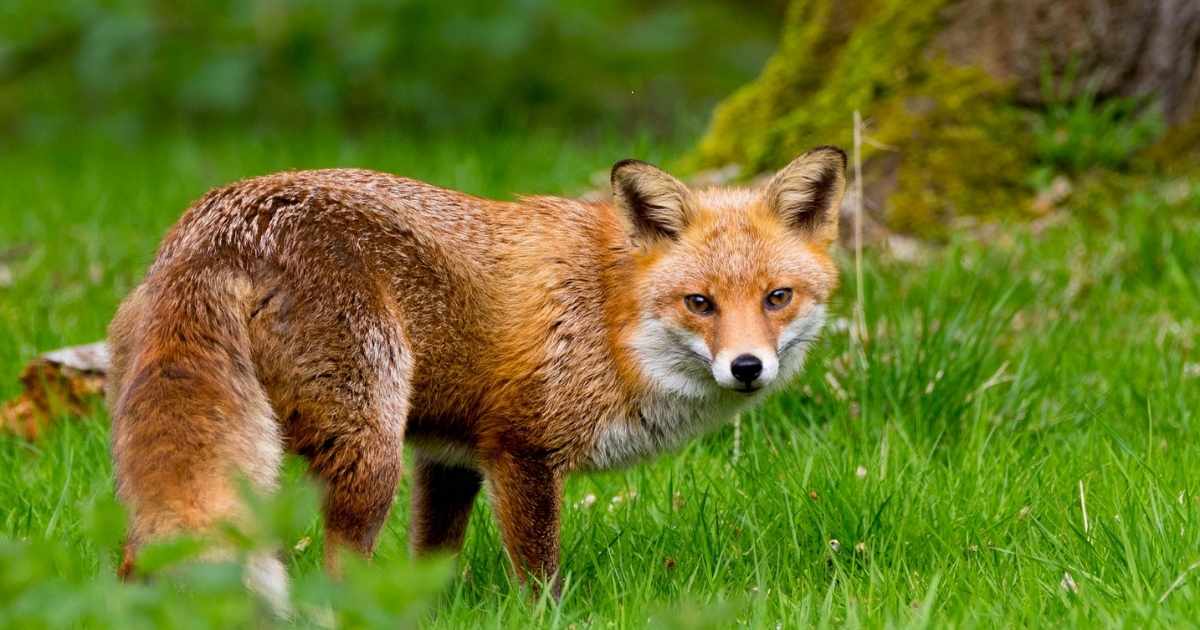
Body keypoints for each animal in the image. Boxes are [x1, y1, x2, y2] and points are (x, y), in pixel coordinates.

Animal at [106, 145, 847, 608]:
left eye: (777, 298)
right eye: (700, 303)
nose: (746, 367)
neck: (611, 318)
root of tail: (214, 227)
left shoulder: (449, 455)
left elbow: (433, 562)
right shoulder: (522, 450)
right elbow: (540, 578)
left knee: (135, 559)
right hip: (369, 454)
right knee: (337, 571)